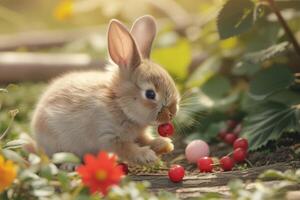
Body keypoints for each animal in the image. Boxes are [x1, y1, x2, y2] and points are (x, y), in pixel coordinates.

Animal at [31, 15, 179, 166]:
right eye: (150, 94)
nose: (173, 112)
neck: (120, 104)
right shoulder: (108, 136)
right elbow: (127, 149)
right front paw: (146, 155)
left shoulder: (137, 135)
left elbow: (146, 140)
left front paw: (165, 144)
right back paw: (70, 165)